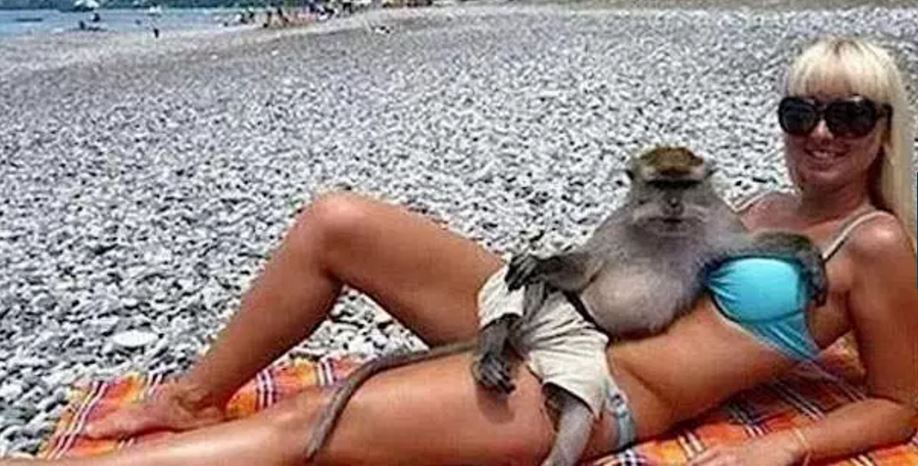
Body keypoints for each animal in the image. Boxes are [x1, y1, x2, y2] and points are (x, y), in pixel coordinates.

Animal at [303, 147, 828, 465]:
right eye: (661, 186)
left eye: (682, 186)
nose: (674, 205)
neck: (665, 232)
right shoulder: (616, 226)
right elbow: (582, 266)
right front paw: (540, 261)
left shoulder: (718, 226)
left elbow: (752, 247)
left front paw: (810, 259)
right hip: (556, 312)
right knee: (529, 289)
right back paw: (491, 349)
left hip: (580, 352)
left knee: (578, 407)